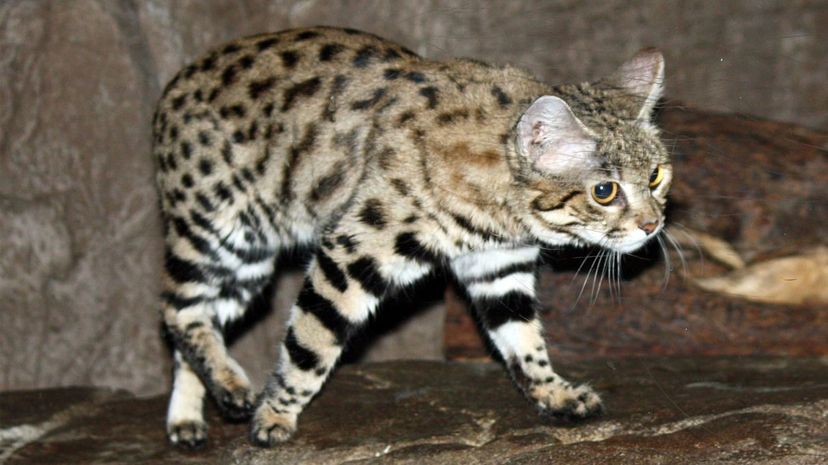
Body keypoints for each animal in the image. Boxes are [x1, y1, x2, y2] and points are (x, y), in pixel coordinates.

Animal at [154, 25, 672, 446]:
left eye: (656, 176)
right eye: (604, 191)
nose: (652, 225)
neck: (501, 208)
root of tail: (173, 86)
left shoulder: (497, 264)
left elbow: (522, 336)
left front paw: (553, 392)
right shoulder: (350, 250)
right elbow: (310, 343)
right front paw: (275, 415)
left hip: (250, 260)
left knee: (200, 317)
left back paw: (191, 415)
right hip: (219, 228)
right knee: (177, 307)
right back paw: (230, 390)